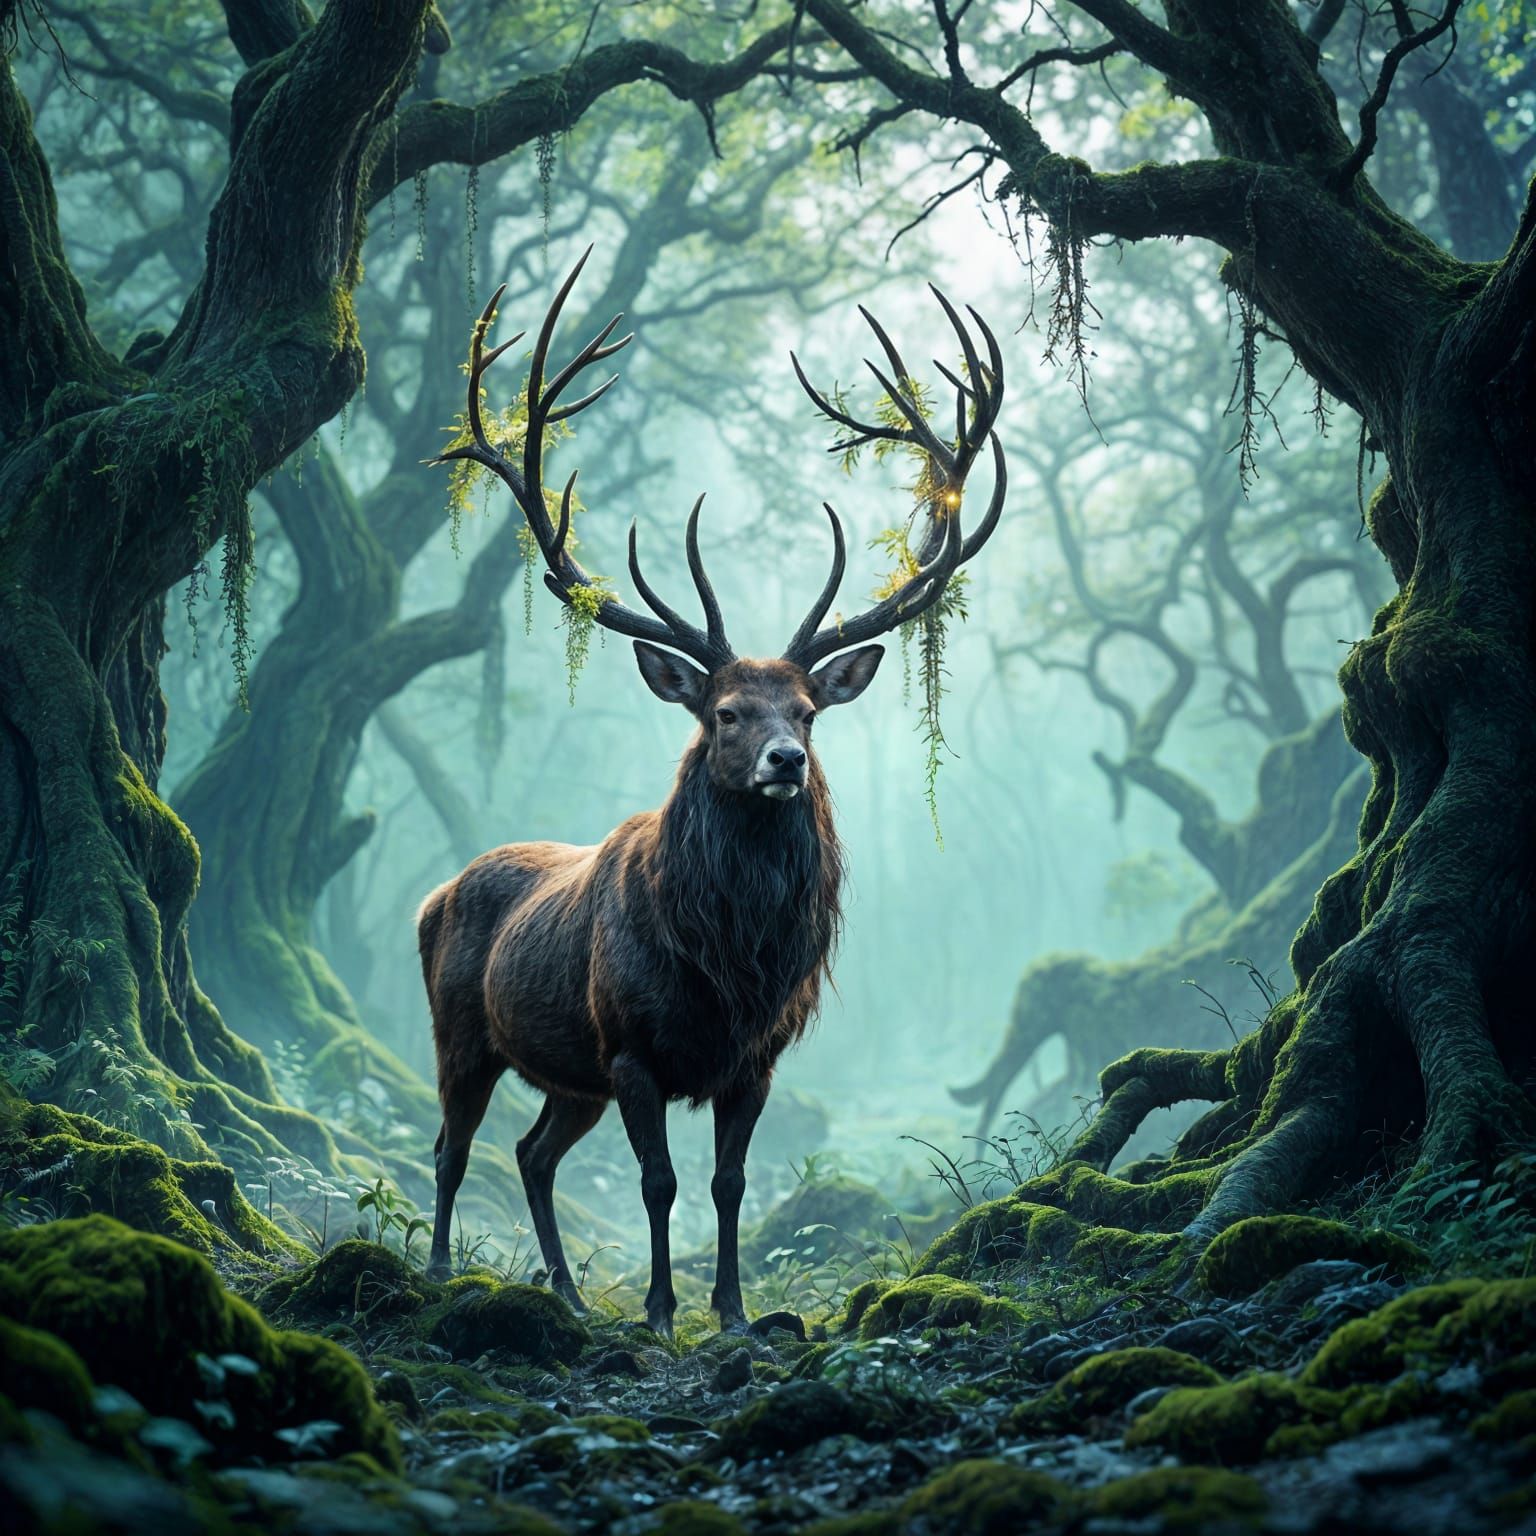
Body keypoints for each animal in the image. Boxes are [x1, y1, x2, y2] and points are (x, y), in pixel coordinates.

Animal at [418, 249, 1007, 1336]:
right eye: (726, 712)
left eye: (809, 711)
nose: (785, 763)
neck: (728, 961)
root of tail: (433, 895)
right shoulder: (633, 1046)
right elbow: (660, 1185)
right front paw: (659, 1309)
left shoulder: (755, 1058)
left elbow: (730, 1184)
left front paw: (733, 1311)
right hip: (462, 1030)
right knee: (452, 1146)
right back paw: (443, 1269)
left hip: (569, 1075)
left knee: (531, 1151)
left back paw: (566, 1290)